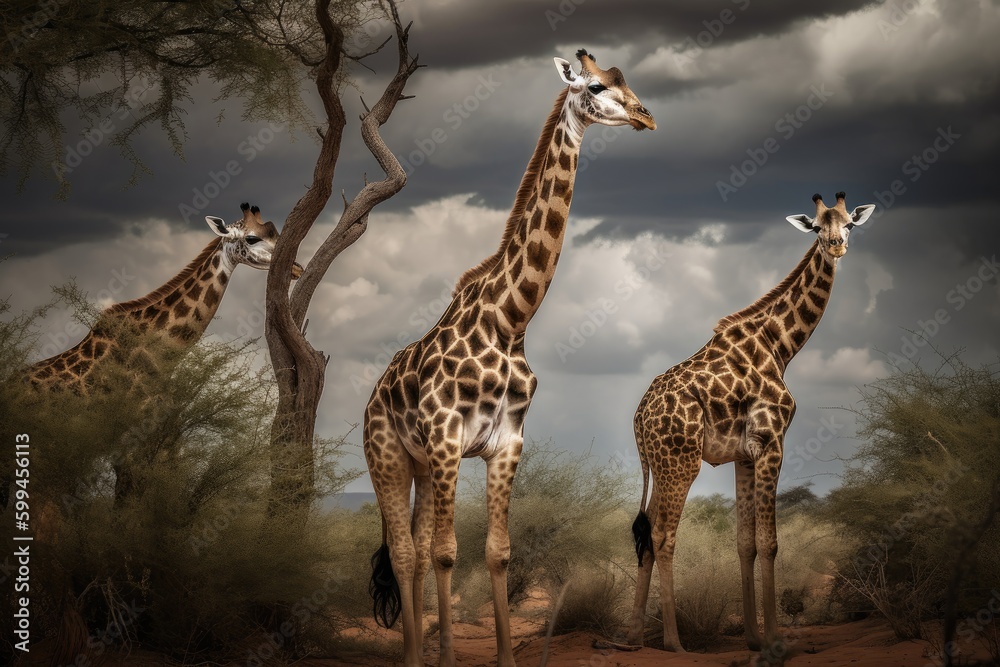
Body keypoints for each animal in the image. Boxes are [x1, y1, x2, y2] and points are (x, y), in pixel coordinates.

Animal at [364, 50, 655, 667]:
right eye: (596, 87)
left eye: (627, 81)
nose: (646, 116)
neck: (511, 320)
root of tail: (373, 394)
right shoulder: (448, 437)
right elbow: (449, 552)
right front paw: (449, 658)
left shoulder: (507, 440)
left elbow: (497, 551)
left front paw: (502, 656)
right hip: (388, 456)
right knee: (404, 552)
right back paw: (414, 656)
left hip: (420, 465)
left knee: (414, 551)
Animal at [626, 192, 876, 654]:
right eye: (817, 228)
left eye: (849, 224)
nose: (835, 246)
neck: (781, 345)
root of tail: (638, 418)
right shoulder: (772, 440)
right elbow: (770, 542)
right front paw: (776, 638)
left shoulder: (744, 454)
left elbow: (745, 543)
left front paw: (754, 638)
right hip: (680, 463)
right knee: (664, 535)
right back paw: (673, 641)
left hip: (659, 465)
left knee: (646, 533)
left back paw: (632, 636)